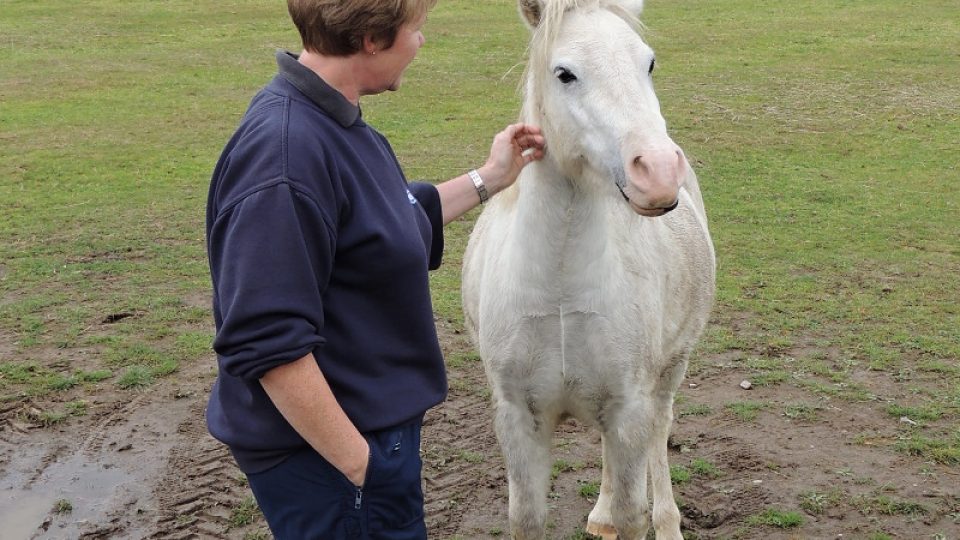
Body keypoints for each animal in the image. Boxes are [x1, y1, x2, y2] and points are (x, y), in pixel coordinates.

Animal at [462, 2, 716, 536]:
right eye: (565, 73)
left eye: (649, 63)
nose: (659, 171)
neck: (560, 289)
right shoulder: (519, 421)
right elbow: (528, 517)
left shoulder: (629, 409)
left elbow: (632, 512)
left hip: (669, 370)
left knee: (660, 433)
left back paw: (669, 522)